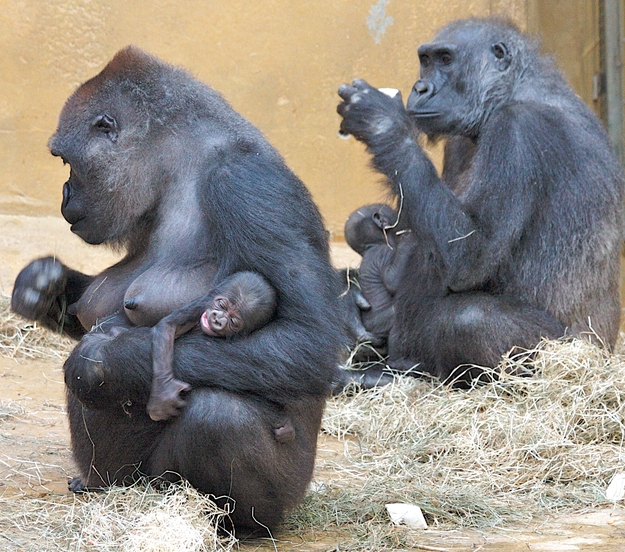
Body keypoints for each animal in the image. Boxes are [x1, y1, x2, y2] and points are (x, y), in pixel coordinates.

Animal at [9, 47, 344, 536]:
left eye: (67, 160)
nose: (65, 193)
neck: (180, 168)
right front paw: (42, 289)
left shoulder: (245, 182)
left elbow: (307, 340)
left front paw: (101, 361)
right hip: (128, 484)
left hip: (283, 491)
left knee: (219, 416)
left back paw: (237, 525)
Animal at [338, 18, 620, 388]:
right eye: (425, 60)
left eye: (445, 60)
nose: (421, 87)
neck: (513, 90)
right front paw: (346, 298)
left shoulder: (516, 131)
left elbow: (470, 255)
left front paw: (381, 122)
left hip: (566, 356)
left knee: (468, 320)